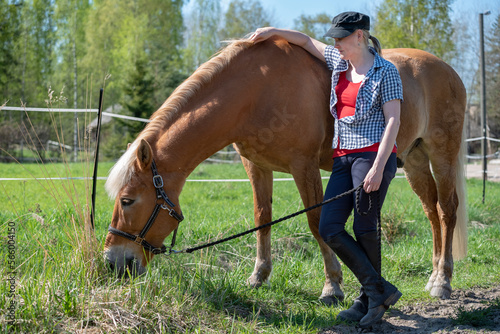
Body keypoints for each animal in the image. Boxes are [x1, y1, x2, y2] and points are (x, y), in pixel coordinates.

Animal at [103, 35, 466, 302]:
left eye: (127, 200)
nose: (113, 263)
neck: (256, 89)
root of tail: (448, 70)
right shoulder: (256, 166)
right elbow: (262, 217)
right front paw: (258, 275)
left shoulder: (303, 166)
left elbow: (317, 221)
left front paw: (332, 285)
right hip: (414, 160)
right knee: (431, 211)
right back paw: (434, 274)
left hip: (442, 153)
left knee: (447, 210)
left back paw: (443, 281)